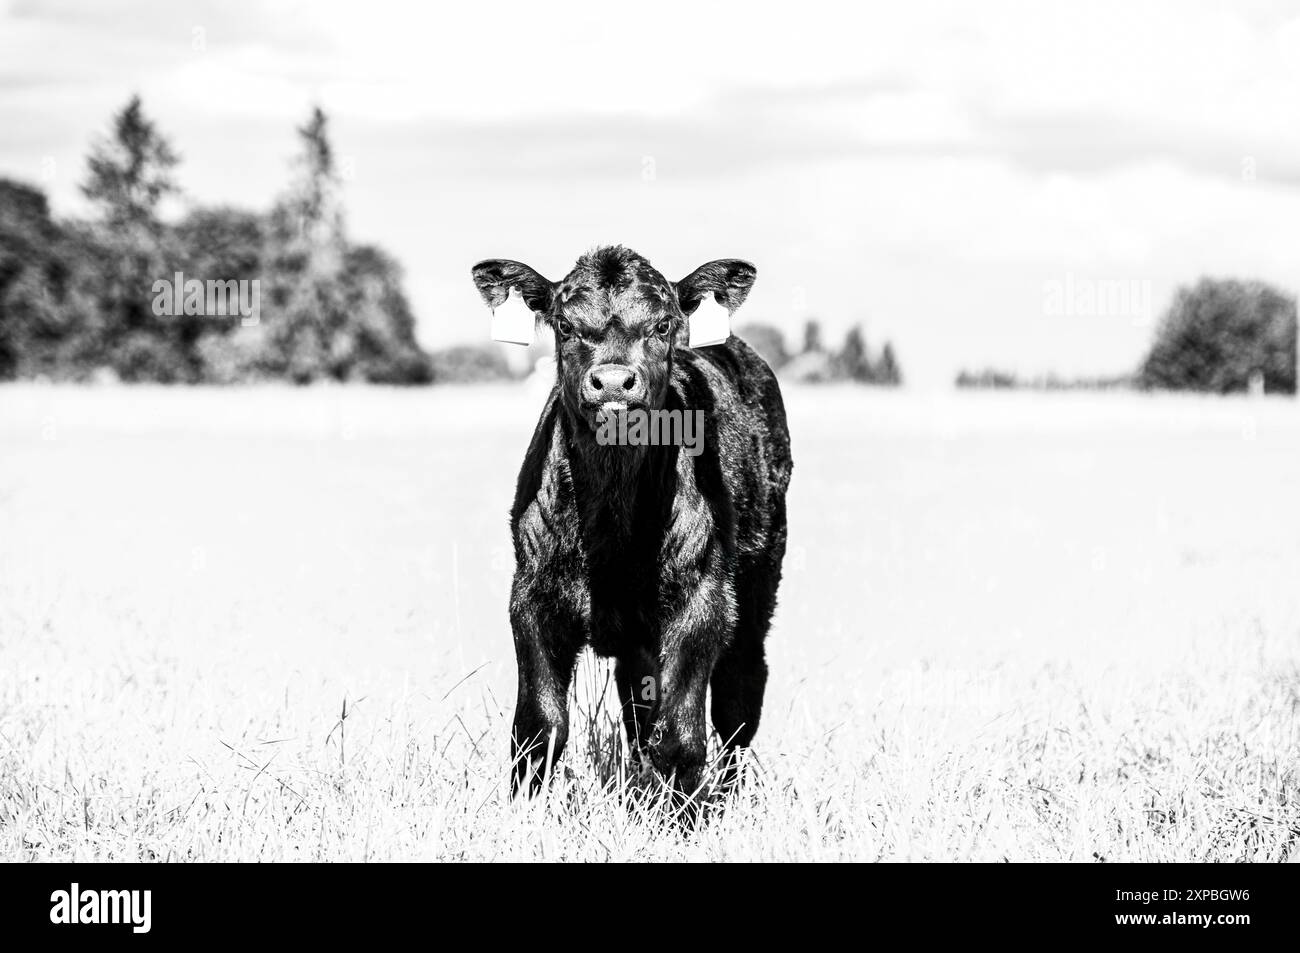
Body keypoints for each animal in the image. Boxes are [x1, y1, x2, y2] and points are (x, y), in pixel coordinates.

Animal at [470, 246, 792, 804]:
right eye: (565, 324)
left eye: (663, 324)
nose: (614, 381)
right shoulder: (531, 596)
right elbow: (540, 725)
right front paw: (523, 811)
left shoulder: (702, 599)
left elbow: (682, 733)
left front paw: (678, 816)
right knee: (639, 704)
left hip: (758, 585)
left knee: (738, 700)